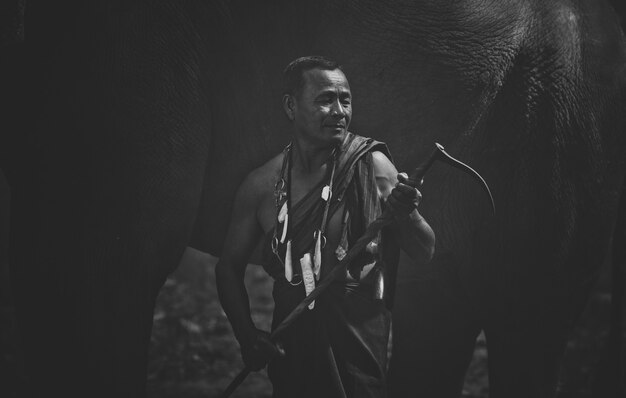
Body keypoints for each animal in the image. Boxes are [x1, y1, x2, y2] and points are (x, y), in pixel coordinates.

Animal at [1, 0, 624, 398]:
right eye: (330, 100)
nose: (344, 114)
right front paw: (260, 350)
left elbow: (109, 260)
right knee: (444, 315)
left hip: (557, 127)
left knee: (524, 320)